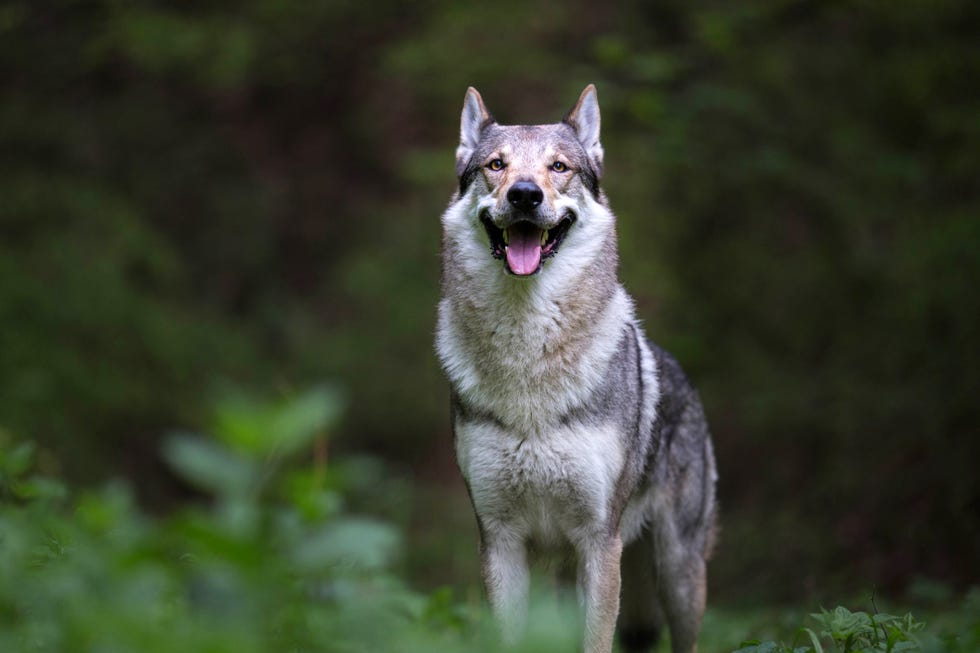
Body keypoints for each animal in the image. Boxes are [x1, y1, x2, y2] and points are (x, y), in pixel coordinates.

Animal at [432, 84, 716, 648]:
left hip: (676, 573)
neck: (527, 358)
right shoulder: (499, 540)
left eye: (558, 167)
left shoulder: (599, 542)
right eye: (496, 165)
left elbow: (597, 640)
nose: (524, 195)